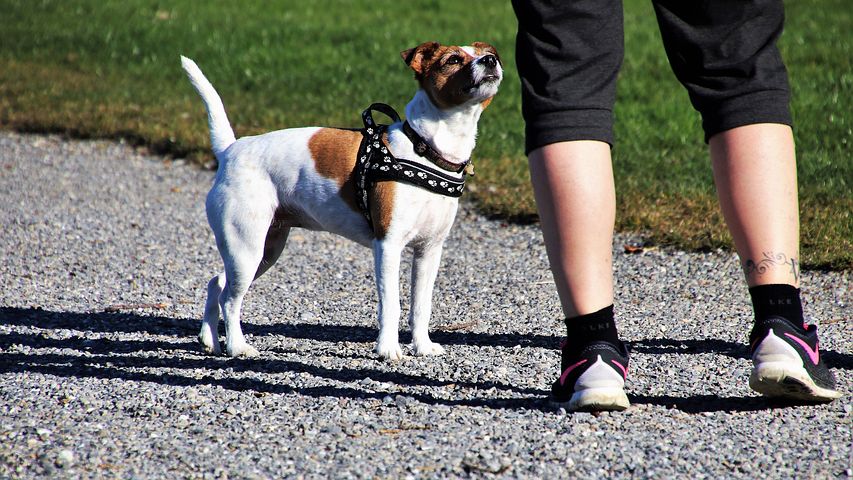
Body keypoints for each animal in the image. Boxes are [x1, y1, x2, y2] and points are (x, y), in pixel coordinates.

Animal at [180, 42, 500, 360]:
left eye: (487, 53)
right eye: (454, 60)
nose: (490, 60)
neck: (425, 150)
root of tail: (230, 150)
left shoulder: (429, 252)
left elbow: (421, 306)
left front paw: (422, 346)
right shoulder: (388, 246)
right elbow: (391, 305)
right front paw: (388, 349)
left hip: (262, 251)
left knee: (217, 283)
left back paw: (209, 340)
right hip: (246, 249)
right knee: (230, 300)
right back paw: (237, 346)